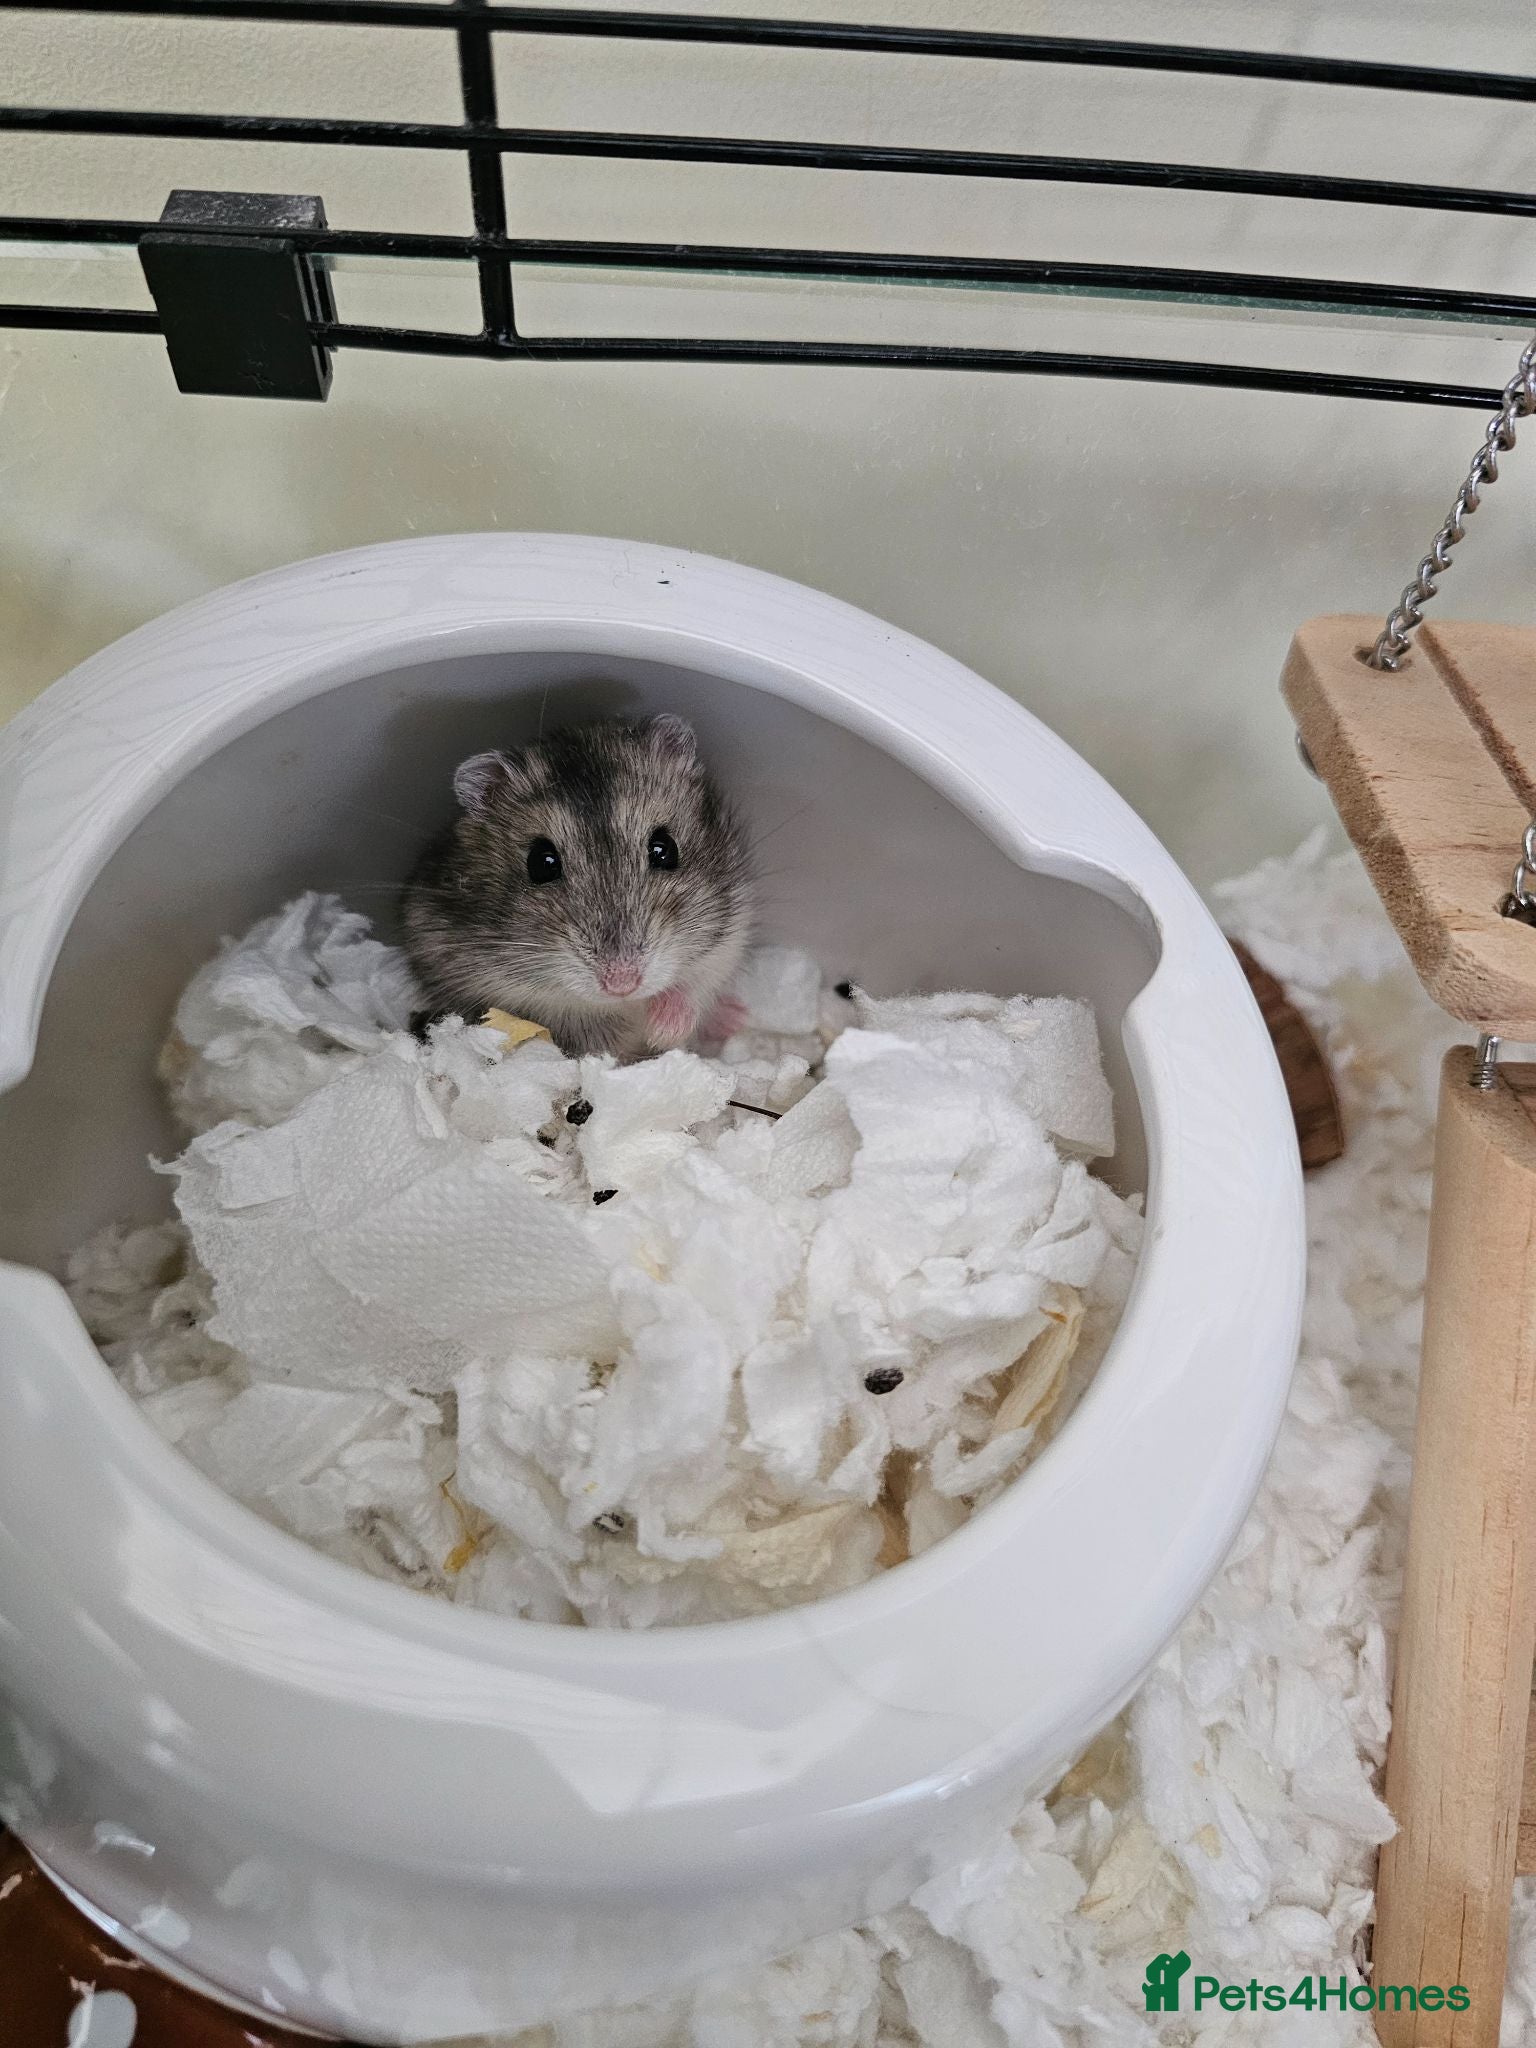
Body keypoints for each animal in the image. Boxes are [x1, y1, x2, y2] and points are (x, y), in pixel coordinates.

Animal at [400, 714, 754, 1058]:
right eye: (541, 863)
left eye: (664, 849)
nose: (622, 983)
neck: (629, 1003)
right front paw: (640, 1045)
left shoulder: (726, 941)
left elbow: (692, 989)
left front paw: (663, 1030)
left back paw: (735, 1016)